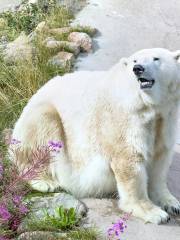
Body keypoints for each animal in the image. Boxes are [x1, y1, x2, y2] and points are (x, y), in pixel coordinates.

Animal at [11, 47, 180, 224]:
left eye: (156, 58)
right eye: (135, 61)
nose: (138, 69)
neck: (146, 105)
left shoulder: (166, 117)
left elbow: (160, 161)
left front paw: (171, 203)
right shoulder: (124, 118)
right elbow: (129, 160)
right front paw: (155, 213)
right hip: (39, 118)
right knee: (42, 129)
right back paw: (45, 181)